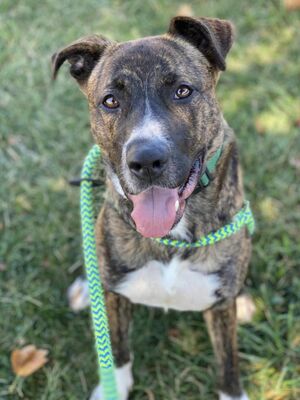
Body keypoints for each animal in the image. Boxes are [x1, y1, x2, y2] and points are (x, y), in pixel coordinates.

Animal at [52, 16, 252, 400]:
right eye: (110, 100)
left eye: (183, 91)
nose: (145, 161)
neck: (171, 237)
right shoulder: (116, 299)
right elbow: (116, 347)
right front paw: (114, 386)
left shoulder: (221, 310)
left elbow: (228, 364)